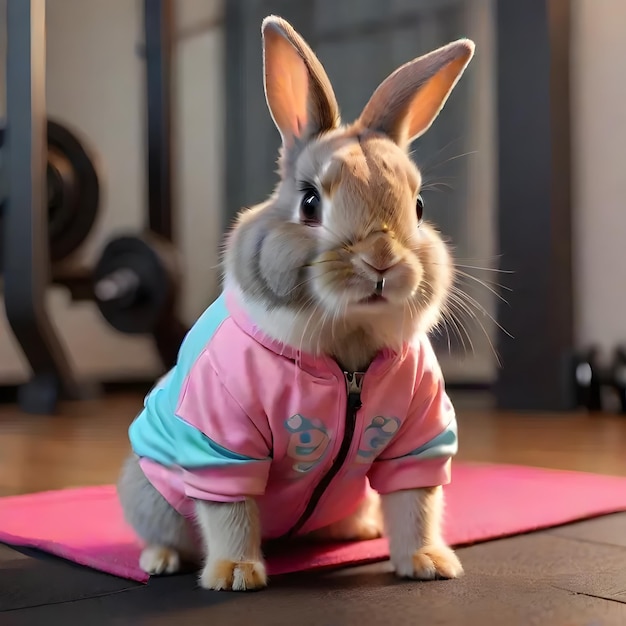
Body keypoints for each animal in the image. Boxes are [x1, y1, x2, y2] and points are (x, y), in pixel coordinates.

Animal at [118, 14, 472, 588]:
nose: (380, 260)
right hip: (152, 493)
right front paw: (236, 574)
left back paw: (360, 531)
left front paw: (428, 564)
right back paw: (161, 560)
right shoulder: (223, 444)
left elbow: (415, 501)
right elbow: (231, 512)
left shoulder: (420, 436)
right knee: (164, 529)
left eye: (418, 207)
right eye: (309, 203)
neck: (347, 356)